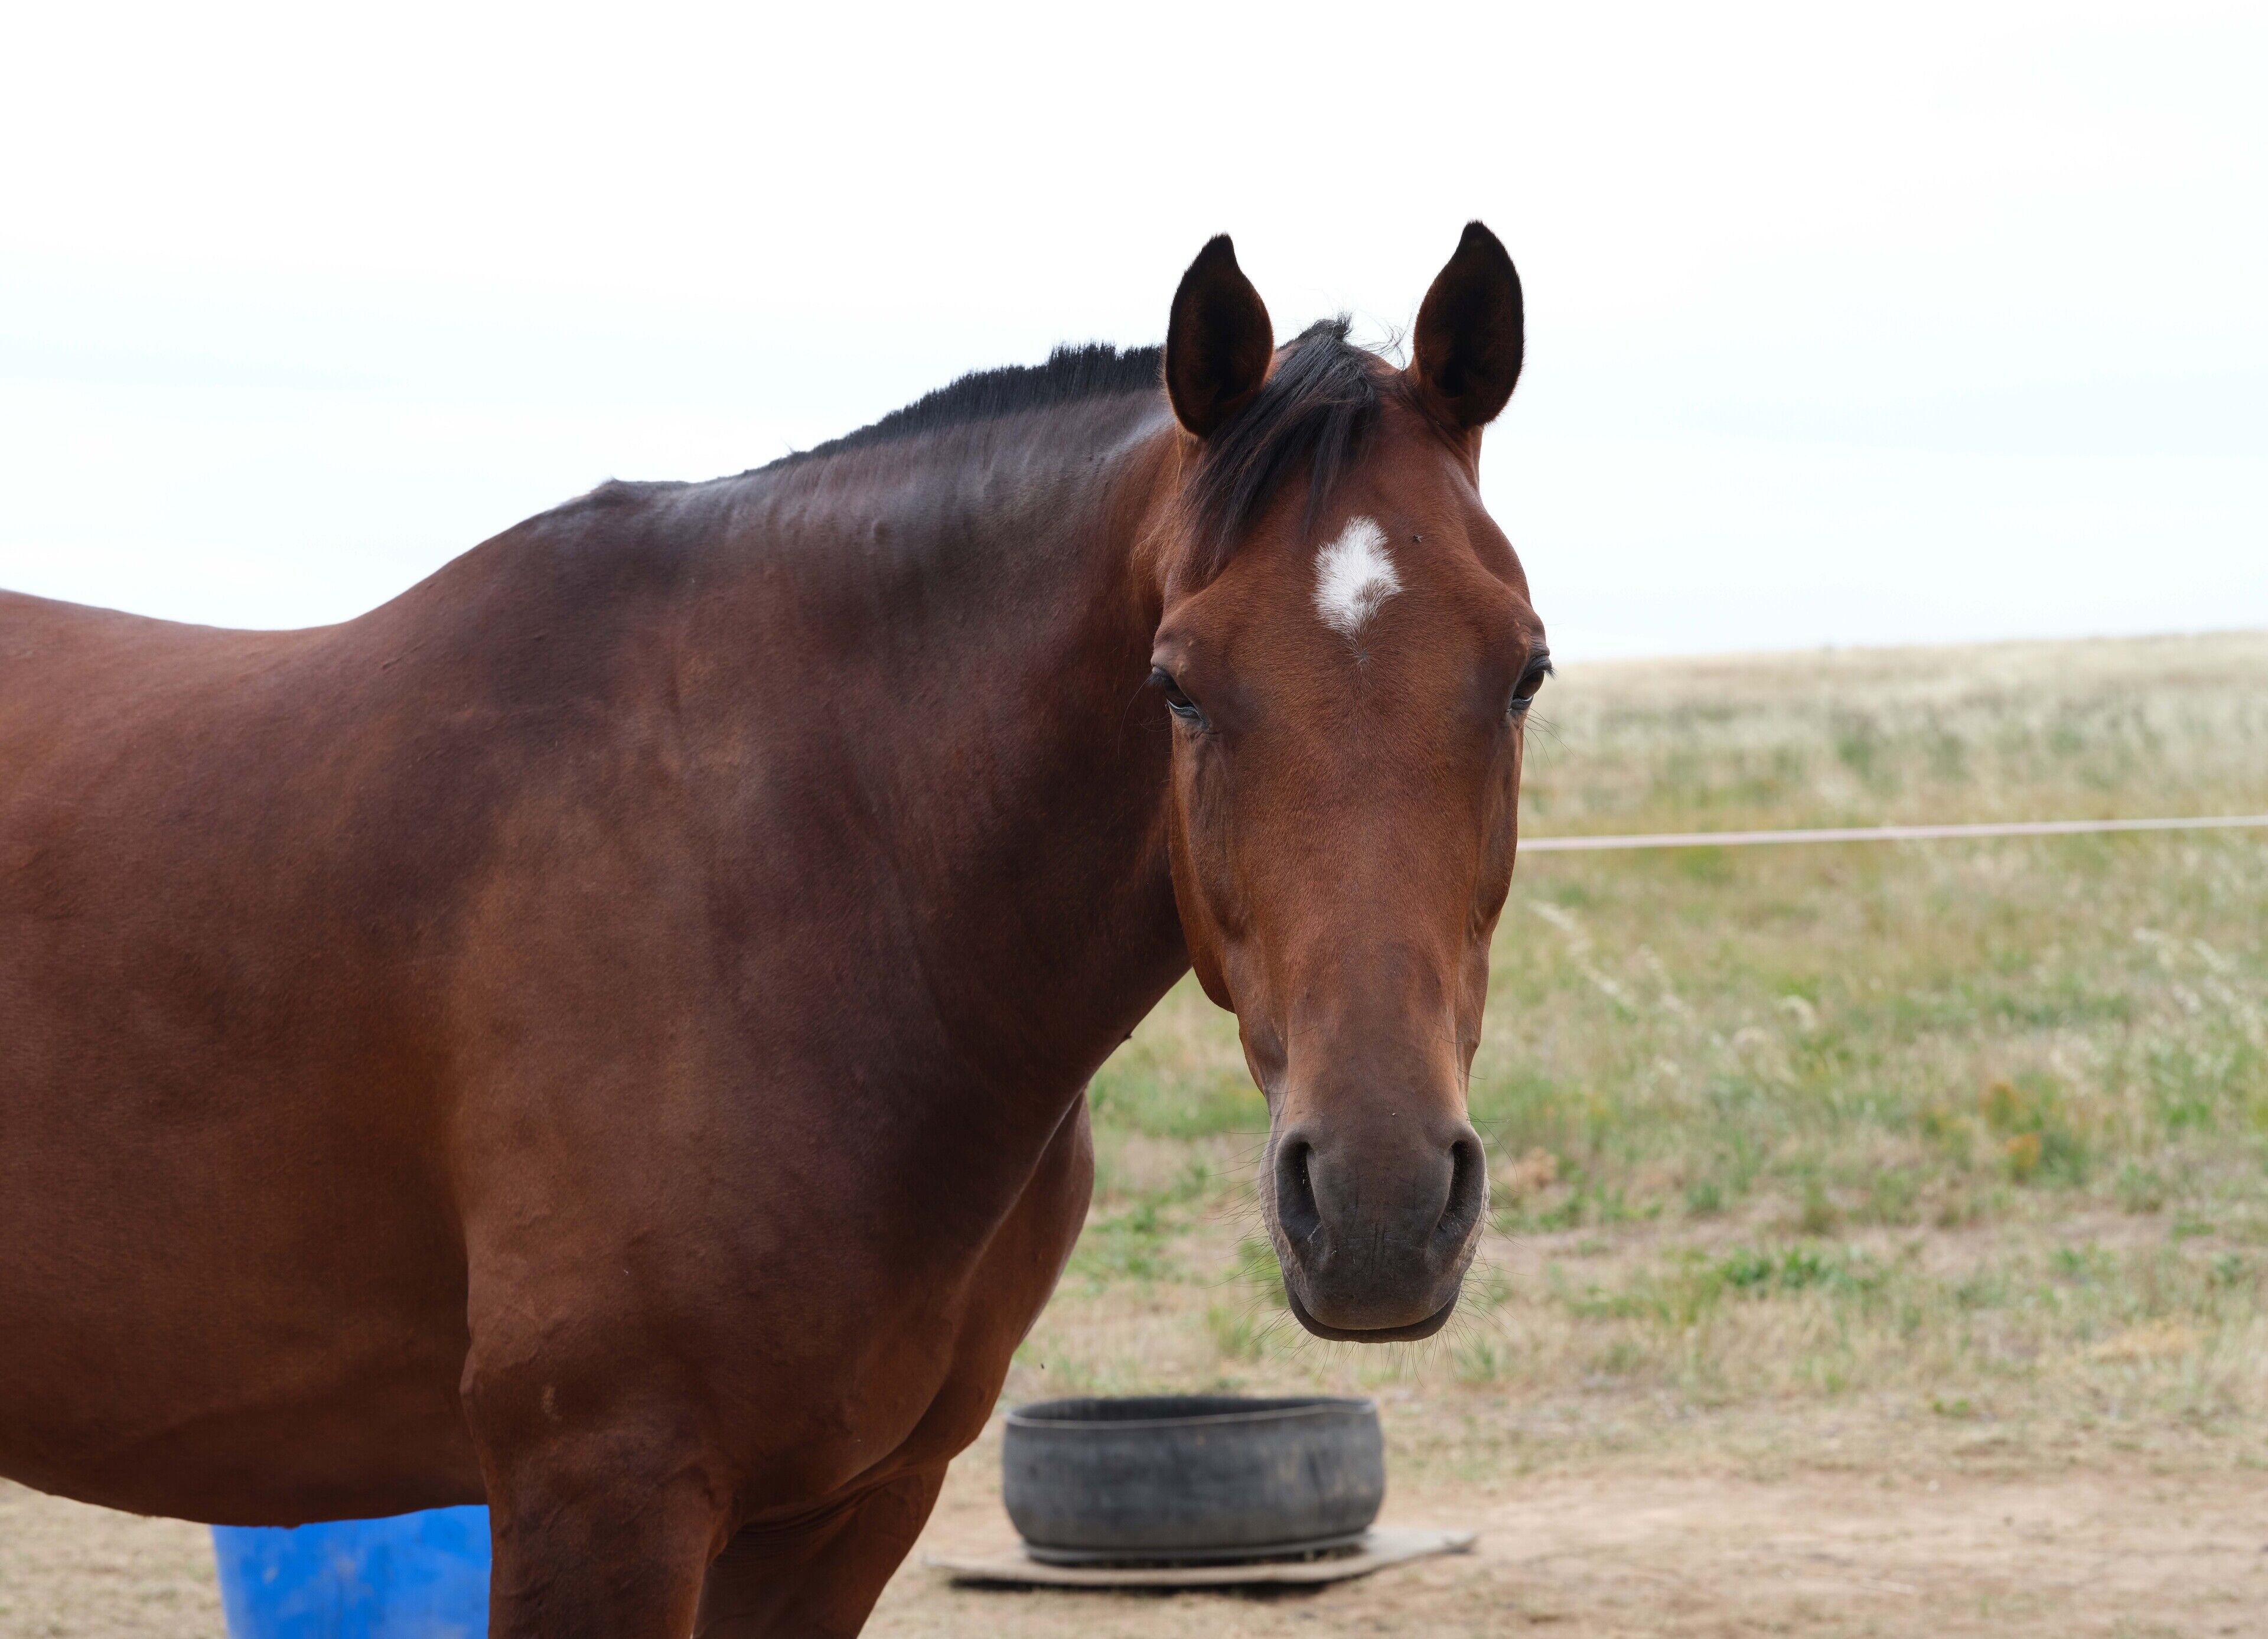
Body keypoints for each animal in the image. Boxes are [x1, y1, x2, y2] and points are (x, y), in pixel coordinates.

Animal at [0, 222, 1546, 1635]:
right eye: (1175, 681)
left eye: (1524, 668)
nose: (1379, 1203)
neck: (799, 880)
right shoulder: (600, 1492)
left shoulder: (846, 1510)